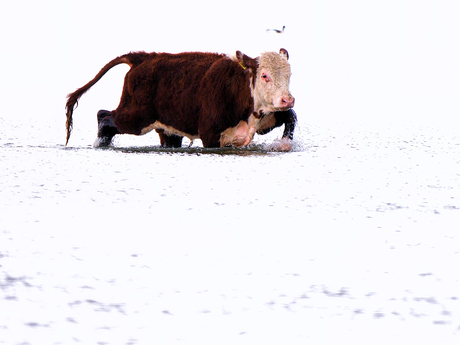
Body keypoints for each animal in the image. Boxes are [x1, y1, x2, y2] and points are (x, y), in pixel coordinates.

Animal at [64, 48, 294, 149]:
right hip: (135, 117)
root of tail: (143, 57)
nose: (287, 99)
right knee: (104, 116)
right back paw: (101, 143)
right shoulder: (210, 135)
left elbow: (290, 118)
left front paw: (284, 144)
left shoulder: (268, 117)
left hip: (166, 128)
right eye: (264, 75)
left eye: (289, 74)